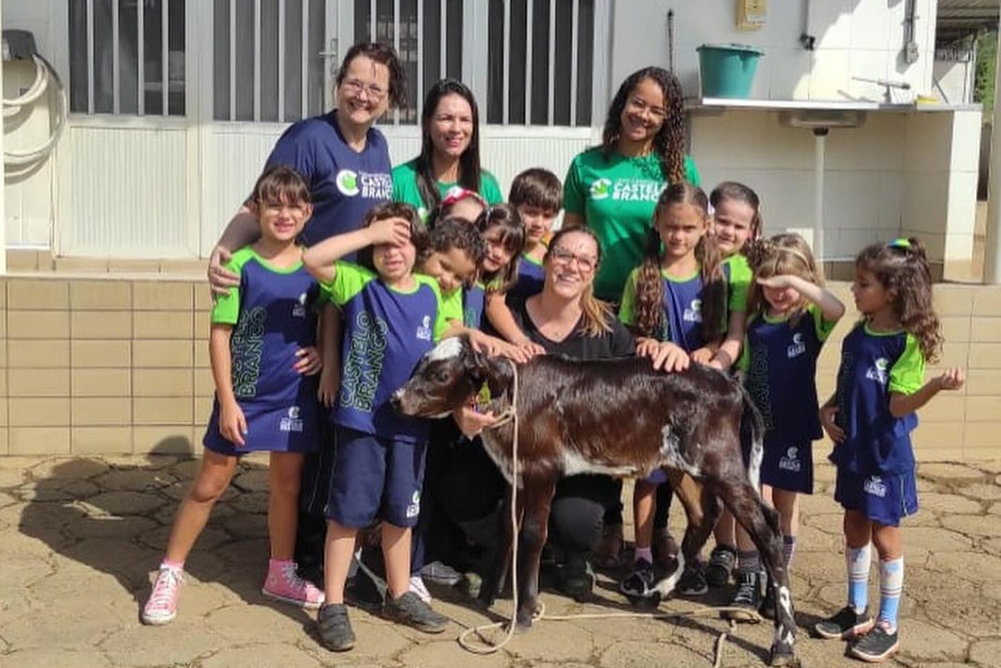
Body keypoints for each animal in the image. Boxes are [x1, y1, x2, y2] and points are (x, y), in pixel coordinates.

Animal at [390, 340, 796, 668]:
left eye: (441, 374)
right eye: (420, 364)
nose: (396, 399)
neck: (514, 397)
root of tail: (728, 381)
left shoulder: (542, 471)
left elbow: (534, 535)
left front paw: (523, 614)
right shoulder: (514, 473)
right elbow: (509, 529)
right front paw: (489, 594)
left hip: (719, 462)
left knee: (767, 526)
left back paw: (784, 641)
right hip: (680, 464)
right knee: (704, 516)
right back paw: (659, 592)